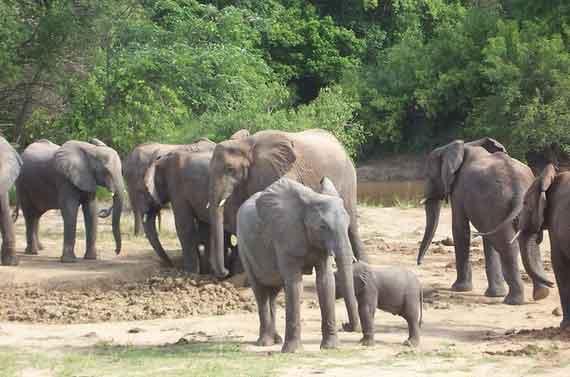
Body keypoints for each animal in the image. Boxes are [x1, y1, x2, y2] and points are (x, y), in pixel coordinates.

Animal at [207, 129, 364, 280]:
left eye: (230, 169)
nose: (225, 272)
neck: (246, 144)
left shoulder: (278, 170)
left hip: (349, 176)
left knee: (351, 222)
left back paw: (361, 262)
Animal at [235, 176, 360, 352]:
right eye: (322, 227)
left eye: (348, 224)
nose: (346, 325)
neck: (311, 199)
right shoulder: (285, 236)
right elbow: (295, 284)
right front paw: (292, 351)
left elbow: (326, 283)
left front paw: (331, 347)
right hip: (244, 249)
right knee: (260, 293)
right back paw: (265, 343)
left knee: (273, 294)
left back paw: (276, 340)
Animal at [414, 138, 548, 306]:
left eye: (429, 176)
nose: (419, 264)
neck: (466, 146)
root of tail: (518, 186)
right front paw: (494, 294)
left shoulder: (458, 191)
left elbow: (460, 228)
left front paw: (459, 289)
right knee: (527, 242)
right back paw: (540, 294)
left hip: (497, 202)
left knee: (506, 245)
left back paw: (512, 300)